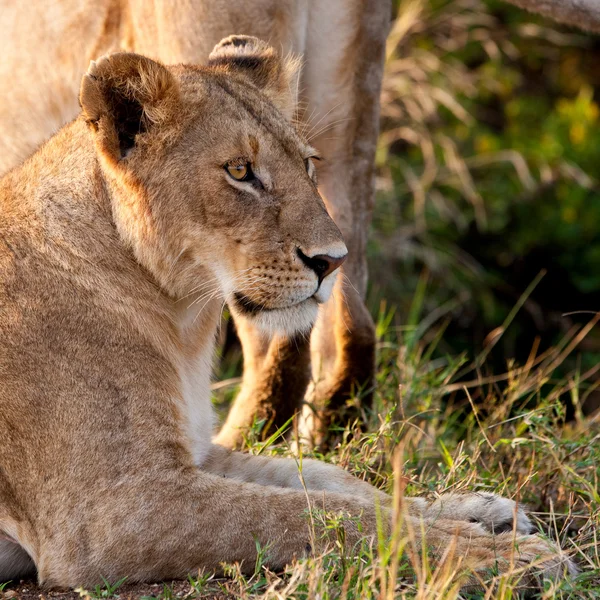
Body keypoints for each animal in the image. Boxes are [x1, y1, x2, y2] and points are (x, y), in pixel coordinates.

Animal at [0, 37, 576, 592]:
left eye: (308, 164)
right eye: (240, 171)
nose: (333, 261)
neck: (180, 320)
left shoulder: (197, 453)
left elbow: (330, 479)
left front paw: (475, 509)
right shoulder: (113, 512)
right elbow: (313, 512)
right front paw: (500, 555)